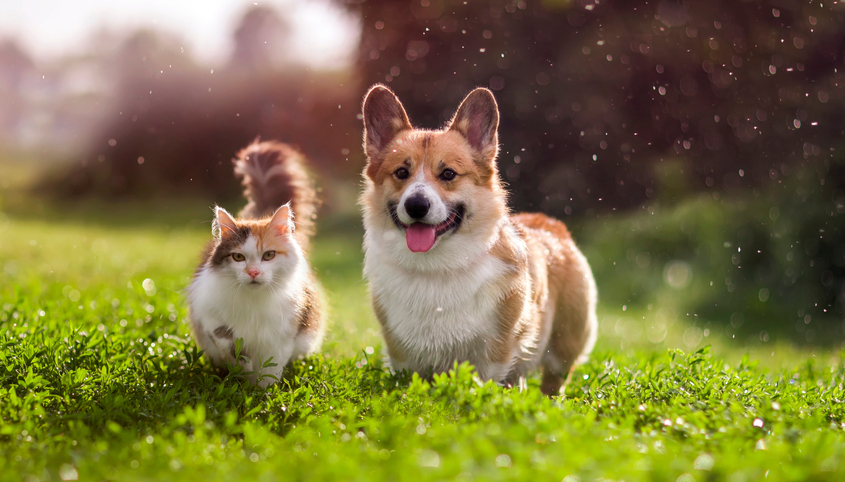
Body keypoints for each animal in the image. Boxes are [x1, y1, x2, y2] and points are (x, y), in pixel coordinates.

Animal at [187, 140, 324, 388]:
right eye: (238, 257)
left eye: (268, 255)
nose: (253, 272)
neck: (254, 303)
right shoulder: (209, 316)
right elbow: (230, 343)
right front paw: (244, 376)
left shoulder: (283, 334)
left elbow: (271, 369)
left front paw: (262, 392)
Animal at [360, 85, 596, 396]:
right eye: (401, 172)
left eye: (448, 173)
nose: (416, 205)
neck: (435, 268)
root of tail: (551, 224)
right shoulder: (401, 354)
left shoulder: (495, 351)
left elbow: (485, 382)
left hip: (563, 346)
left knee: (553, 381)